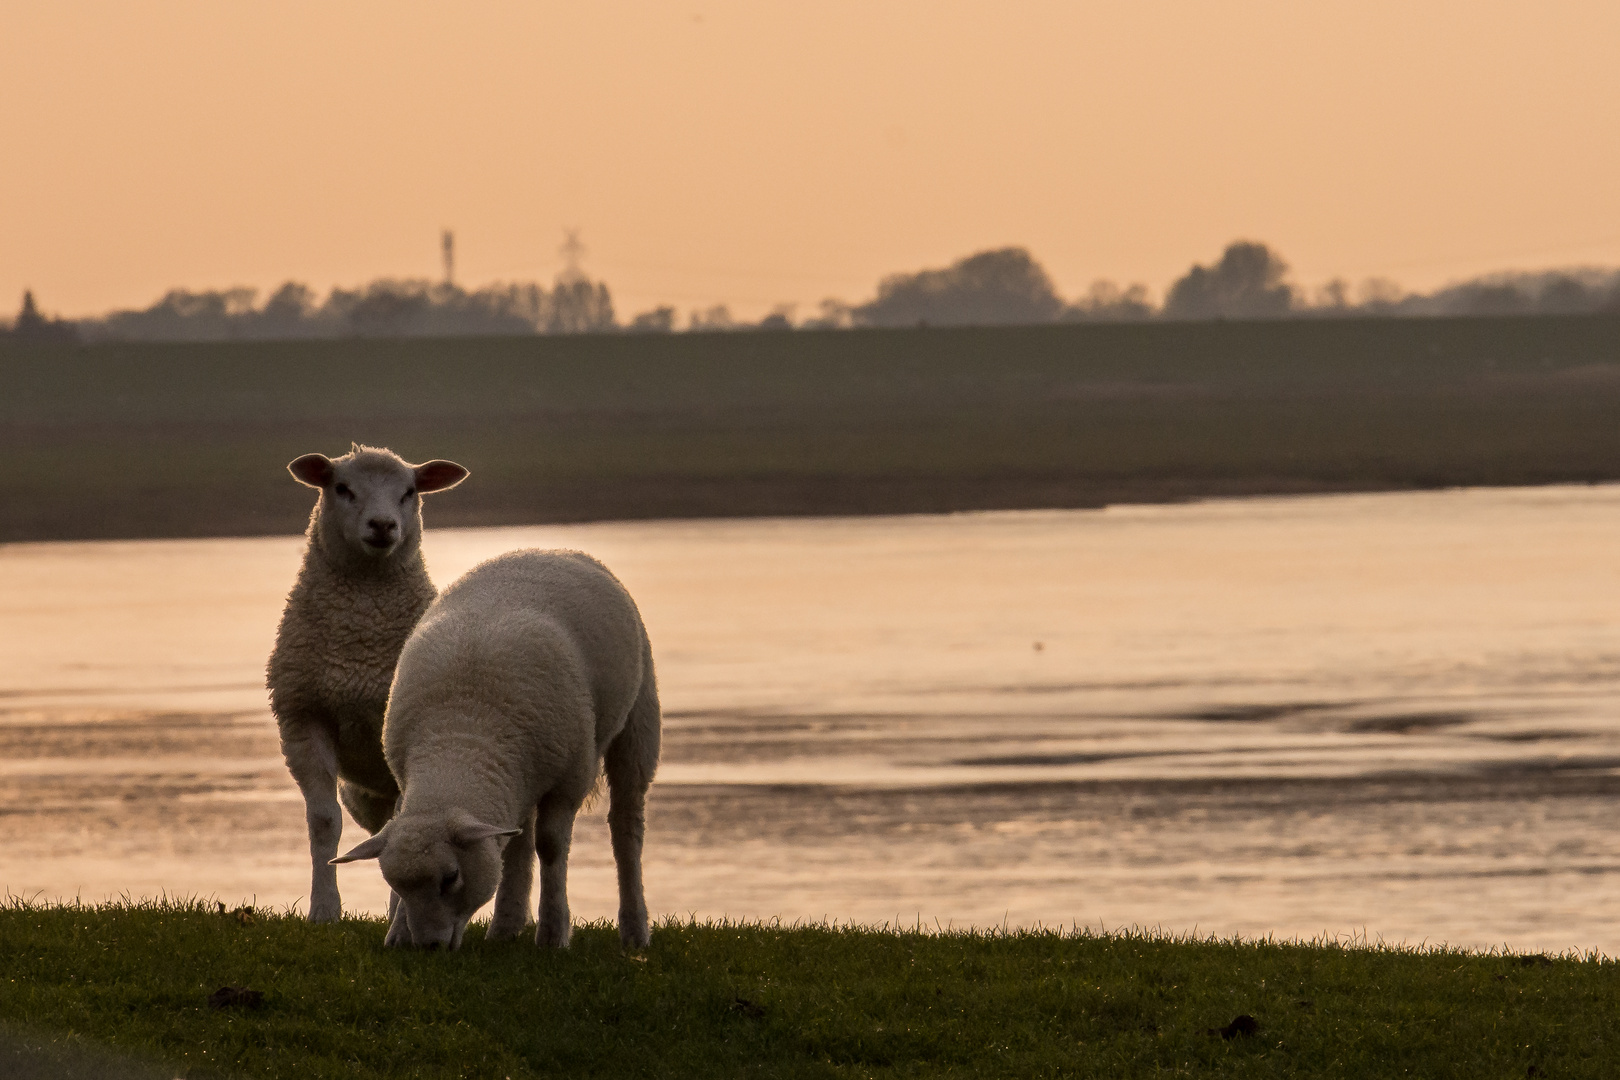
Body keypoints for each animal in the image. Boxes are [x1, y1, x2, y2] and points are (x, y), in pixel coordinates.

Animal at [265, 443, 469, 926]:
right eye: (342, 487)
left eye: (409, 491)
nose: (382, 526)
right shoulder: (304, 718)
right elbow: (324, 823)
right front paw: (324, 910)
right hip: (363, 792)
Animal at [332, 553, 660, 952]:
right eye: (395, 883)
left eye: (451, 877)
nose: (429, 947)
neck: (462, 736)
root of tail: (551, 551)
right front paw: (397, 932)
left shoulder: (568, 781)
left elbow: (551, 846)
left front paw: (553, 934)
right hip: (520, 778)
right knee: (518, 839)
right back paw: (505, 926)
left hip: (638, 721)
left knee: (626, 825)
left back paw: (635, 930)